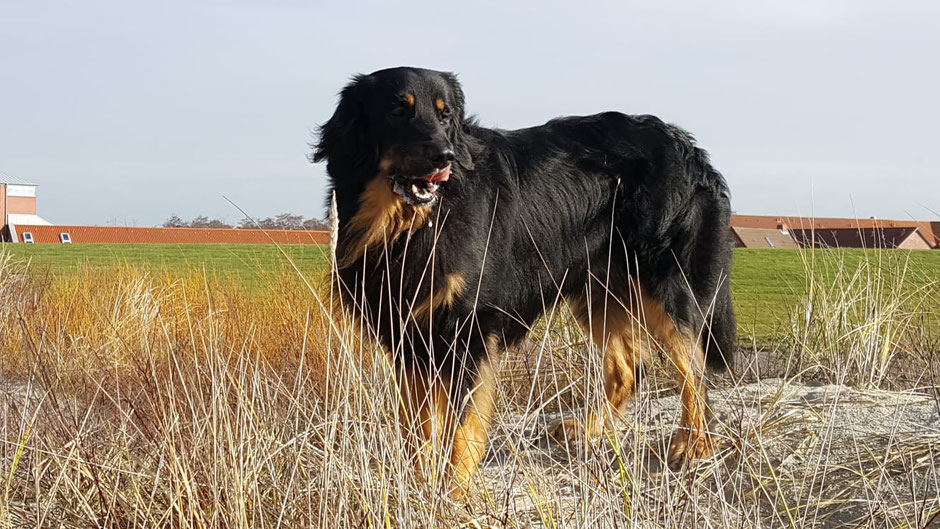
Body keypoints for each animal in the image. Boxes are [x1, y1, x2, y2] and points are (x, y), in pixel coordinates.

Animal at [312, 66, 740, 496]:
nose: (444, 157)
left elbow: (461, 426)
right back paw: (586, 428)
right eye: (398, 111)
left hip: (663, 284)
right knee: (627, 369)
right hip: (598, 289)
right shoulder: (407, 334)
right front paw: (421, 484)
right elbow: (417, 428)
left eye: (445, 116)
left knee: (693, 368)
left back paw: (692, 444)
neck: (409, 224)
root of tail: (688, 147)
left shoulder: (468, 330)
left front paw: (453, 490)